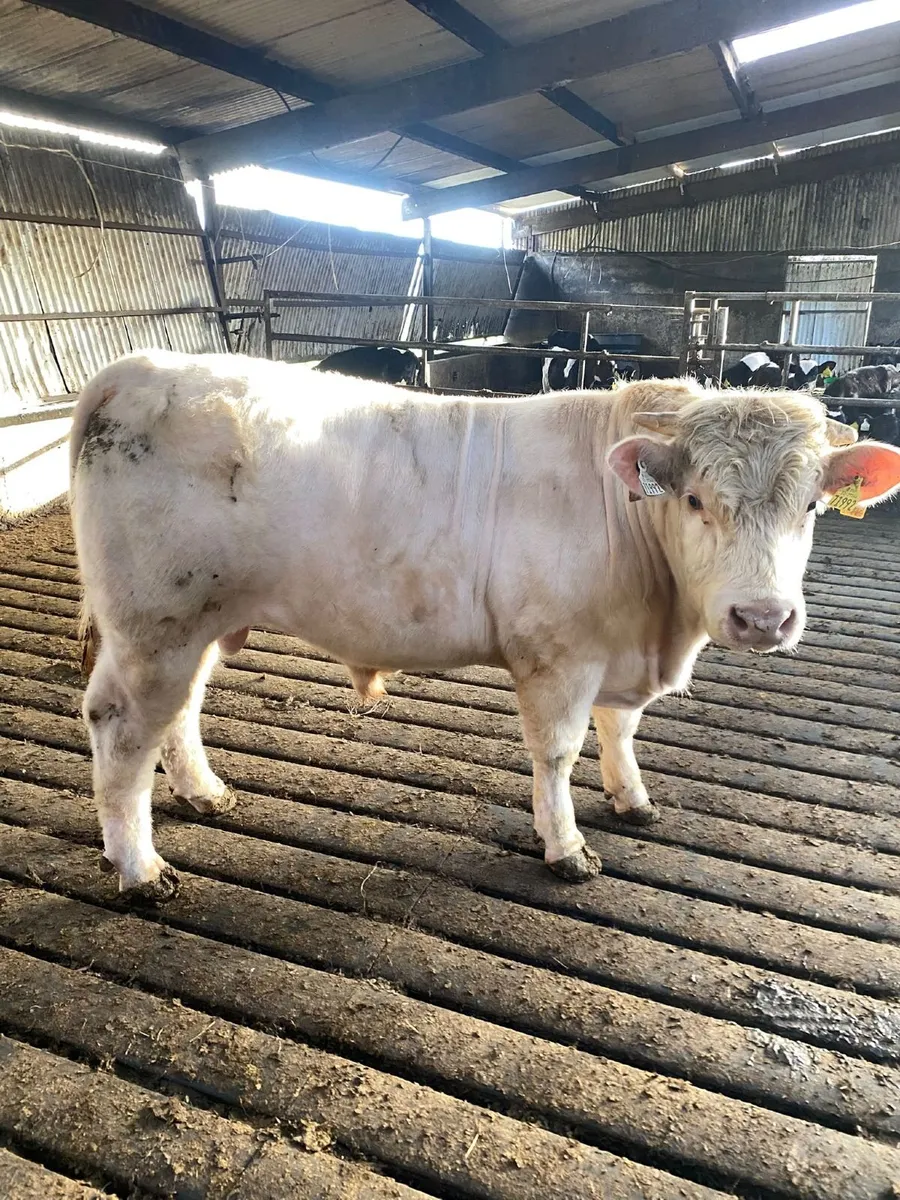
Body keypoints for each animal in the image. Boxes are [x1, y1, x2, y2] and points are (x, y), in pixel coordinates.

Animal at [69, 351, 900, 903]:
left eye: (813, 506)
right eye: (695, 500)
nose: (762, 616)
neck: (658, 623)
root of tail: (135, 366)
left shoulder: (613, 651)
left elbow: (621, 729)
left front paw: (631, 797)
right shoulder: (560, 657)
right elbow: (557, 754)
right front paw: (566, 847)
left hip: (198, 623)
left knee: (179, 713)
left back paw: (203, 793)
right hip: (155, 622)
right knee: (124, 730)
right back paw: (140, 868)